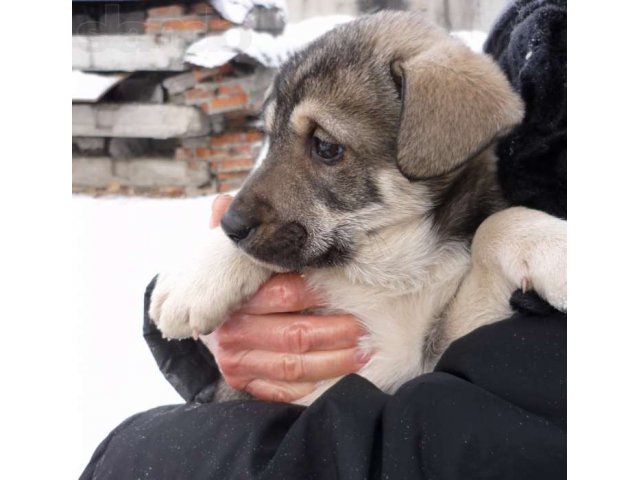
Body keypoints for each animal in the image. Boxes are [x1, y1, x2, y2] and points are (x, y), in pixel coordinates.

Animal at [149, 12, 564, 404]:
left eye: (325, 146)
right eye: (269, 137)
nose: (231, 226)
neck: (384, 264)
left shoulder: (435, 352)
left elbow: (498, 223)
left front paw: (554, 250)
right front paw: (195, 279)